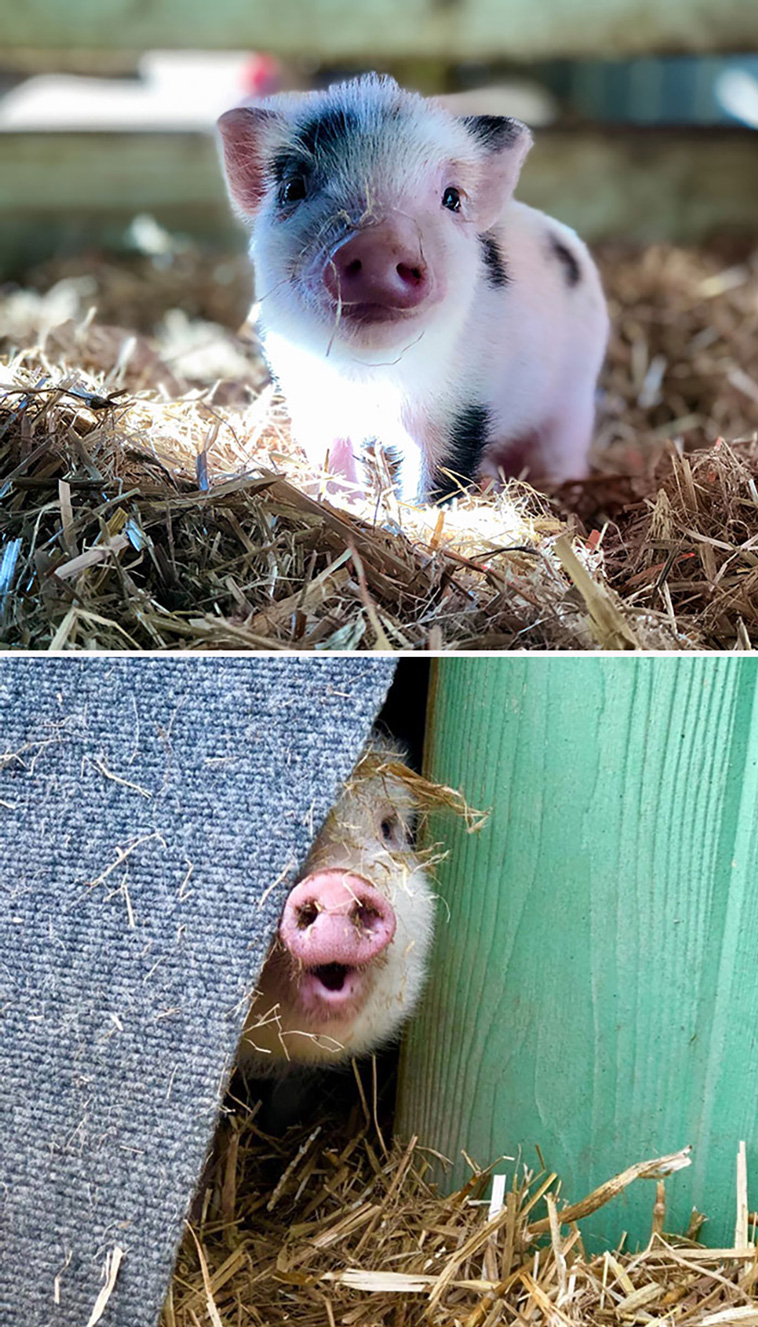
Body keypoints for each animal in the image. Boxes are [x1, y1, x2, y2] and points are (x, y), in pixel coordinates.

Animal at [217, 73, 609, 502]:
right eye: (292, 188)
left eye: (452, 197)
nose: (378, 245)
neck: (369, 375)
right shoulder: (310, 393)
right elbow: (333, 458)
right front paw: (344, 501)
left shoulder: (464, 403)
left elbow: (440, 473)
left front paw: (418, 510)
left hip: (575, 394)